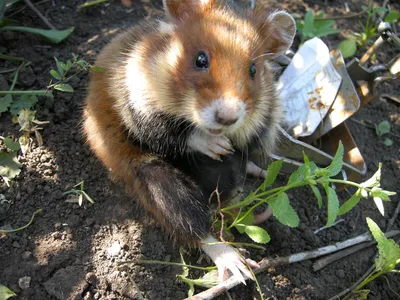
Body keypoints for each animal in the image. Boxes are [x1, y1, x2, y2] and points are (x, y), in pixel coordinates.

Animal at [83, 0, 296, 284]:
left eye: (253, 70)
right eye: (200, 59)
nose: (227, 118)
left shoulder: (266, 116)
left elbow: (246, 140)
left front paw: (229, 144)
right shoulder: (137, 103)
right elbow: (172, 133)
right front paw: (217, 147)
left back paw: (260, 172)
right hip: (157, 181)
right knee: (194, 225)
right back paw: (238, 267)